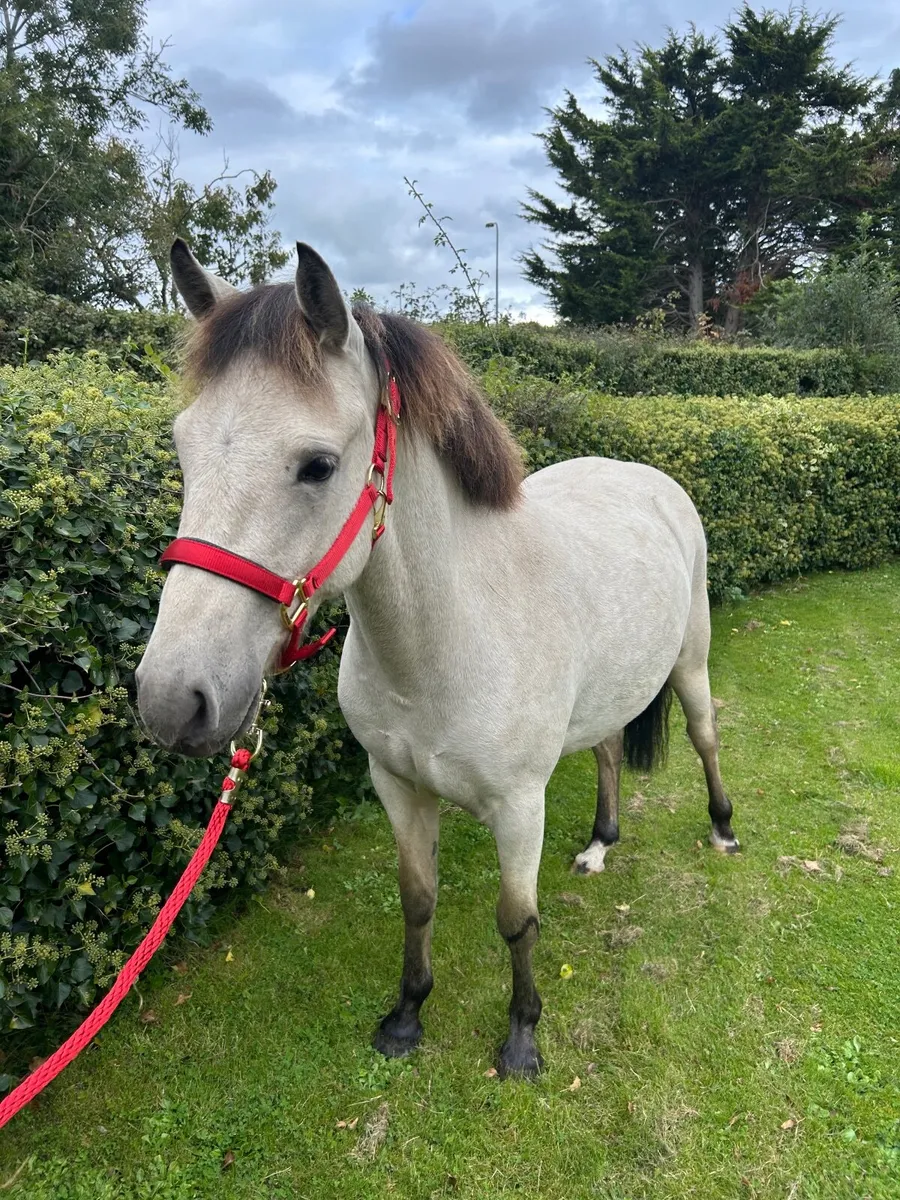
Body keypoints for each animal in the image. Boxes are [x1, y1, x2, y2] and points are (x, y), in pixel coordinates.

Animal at [136, 239, 739, 1079]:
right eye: (183, 449)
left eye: (317, 465)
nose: (171, 699)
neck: (443, 643)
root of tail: (647, 478)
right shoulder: (398, 788)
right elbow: (417, 899)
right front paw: (406, 1016)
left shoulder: (518, 807)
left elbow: (517, 920)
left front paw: (521, 1039)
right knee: (611, 750)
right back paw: (598, 845)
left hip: (690, 663)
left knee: (705, 736)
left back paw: (722, 829)